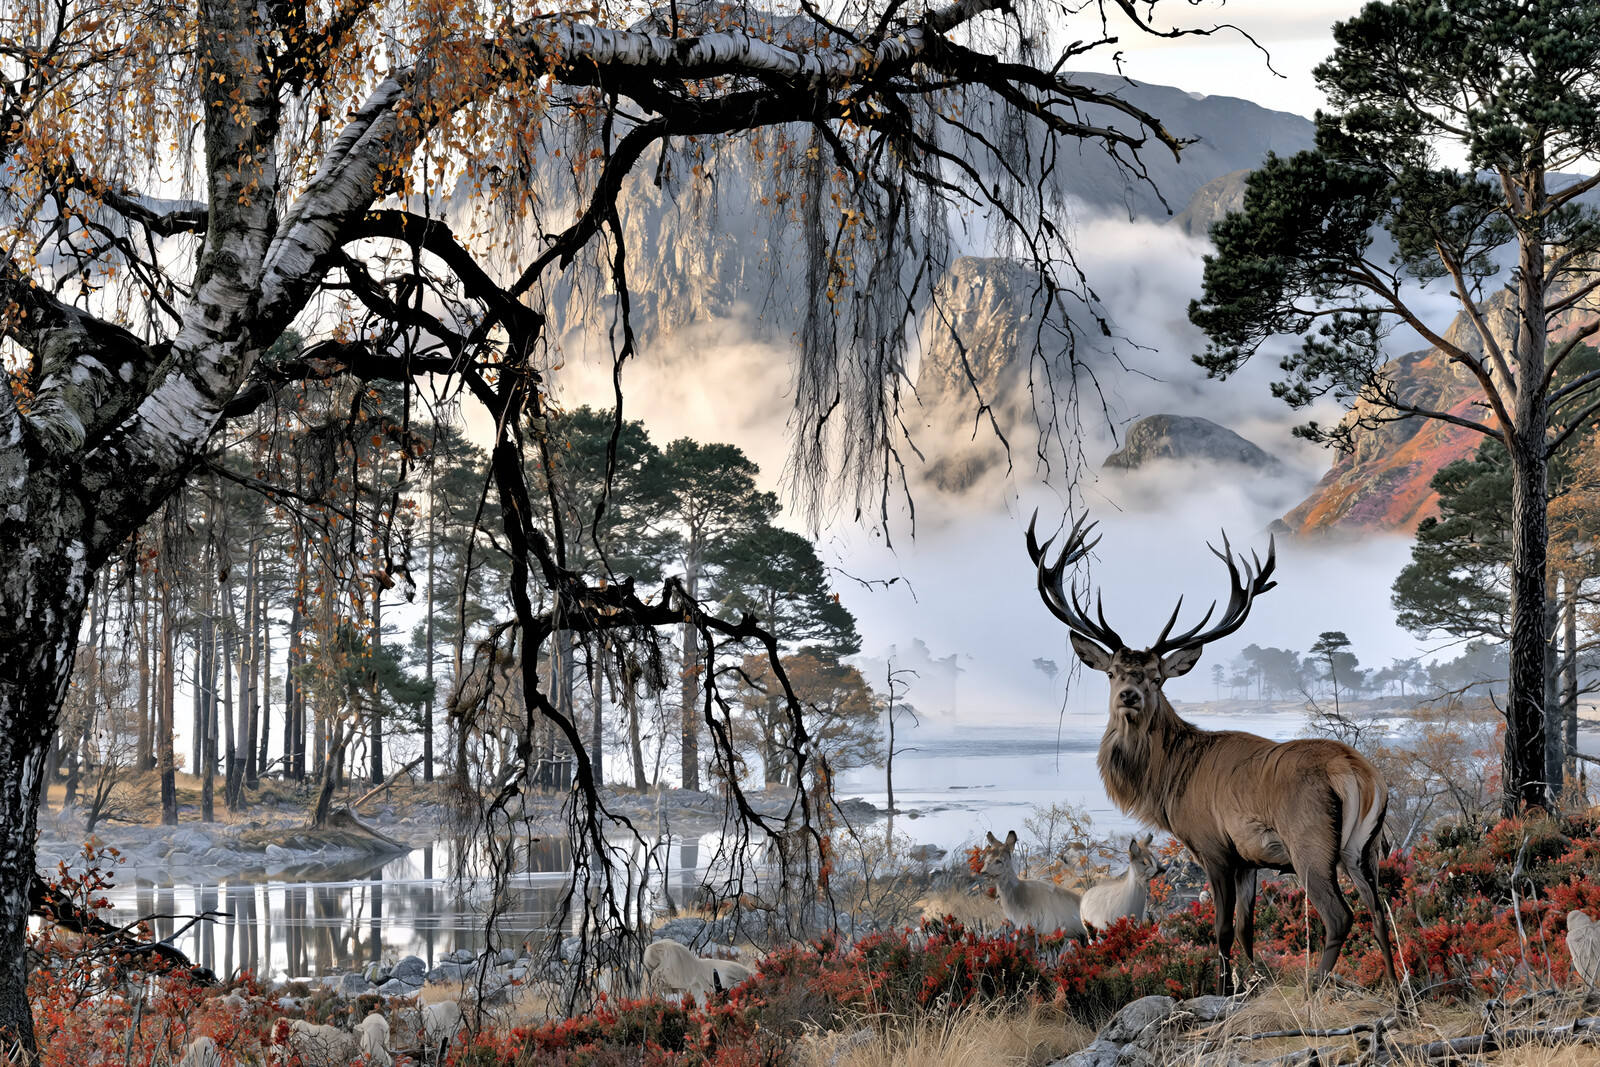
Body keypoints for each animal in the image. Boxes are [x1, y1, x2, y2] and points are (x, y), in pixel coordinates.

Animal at [1026, 512, 1399, 995]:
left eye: (1157, 677)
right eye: (1112, 672)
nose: (1129, 695)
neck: (1169, 783)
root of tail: (1359, 774)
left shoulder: (1213, 846)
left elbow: (1221, 930)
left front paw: (1223, 990)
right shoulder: (1248, 861)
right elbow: (1245, 928)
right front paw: (1249, 984)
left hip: (1310, 843)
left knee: (1340, 916)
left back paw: (1313, 989)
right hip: (1366, 849)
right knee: (1380, 911)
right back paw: (1400, 995)